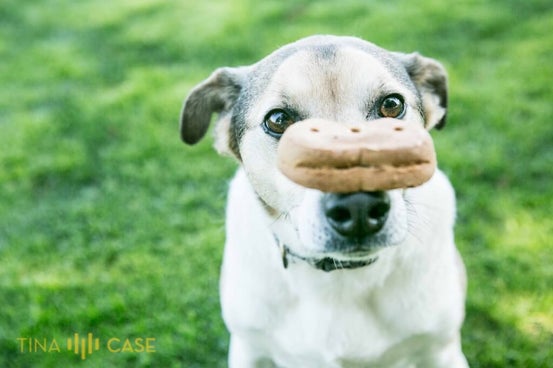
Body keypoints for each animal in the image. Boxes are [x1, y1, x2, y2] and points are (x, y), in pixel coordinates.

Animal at [179, 35, 468, 368]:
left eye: (392, 105)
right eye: (278, 120)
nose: (359, 206)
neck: (340, 273)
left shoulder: (442, 350)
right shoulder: (248, 349)